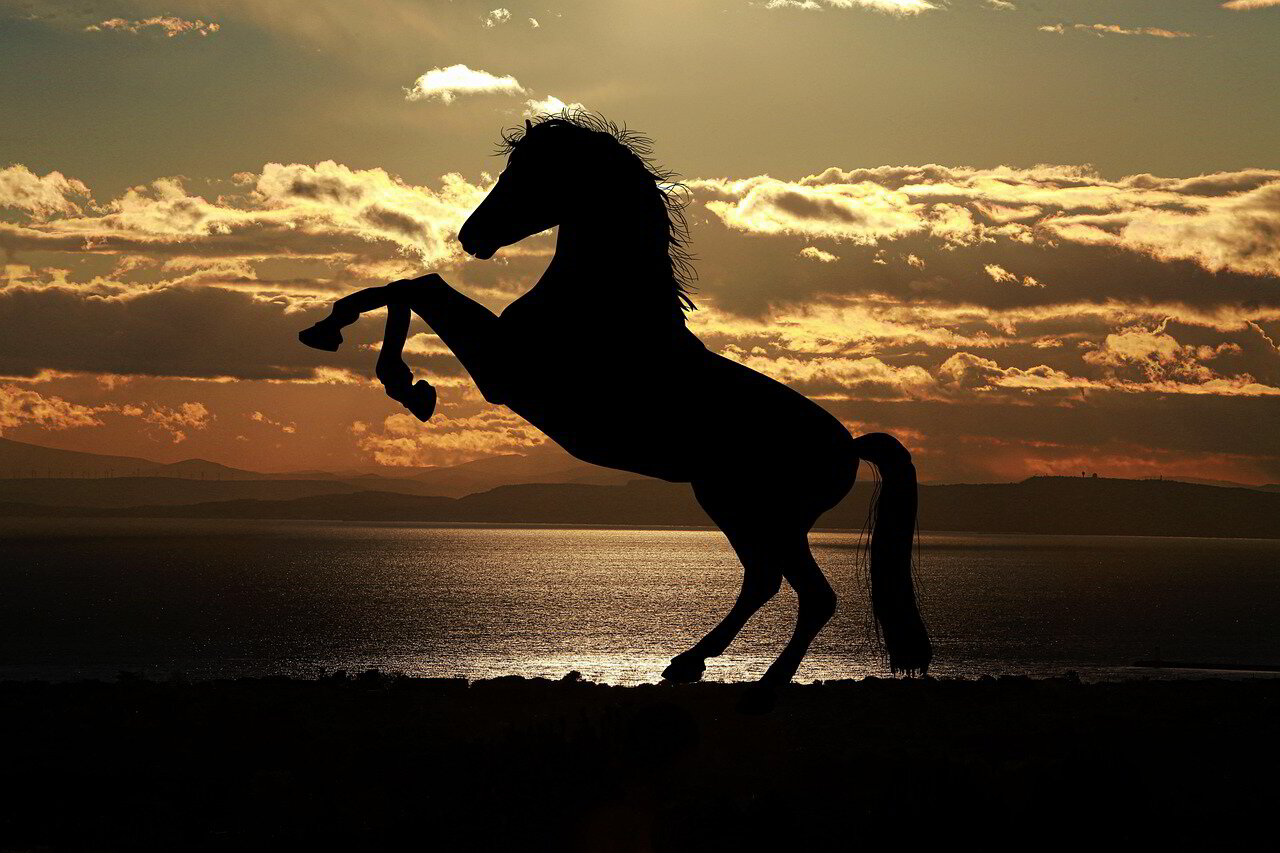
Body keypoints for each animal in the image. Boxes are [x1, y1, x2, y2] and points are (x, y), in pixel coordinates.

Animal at [299, 111, 931, 710]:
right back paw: (687, 664)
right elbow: (409, 285)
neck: (603, 304)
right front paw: (342, 339)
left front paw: (400, 379)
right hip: (733, 505)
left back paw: (759, 691)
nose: (471, 235)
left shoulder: (503, 369)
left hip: (764, 514)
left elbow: (418, 286)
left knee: (811, 596)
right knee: (763, 580)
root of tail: (848, 446)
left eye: (530, 173)